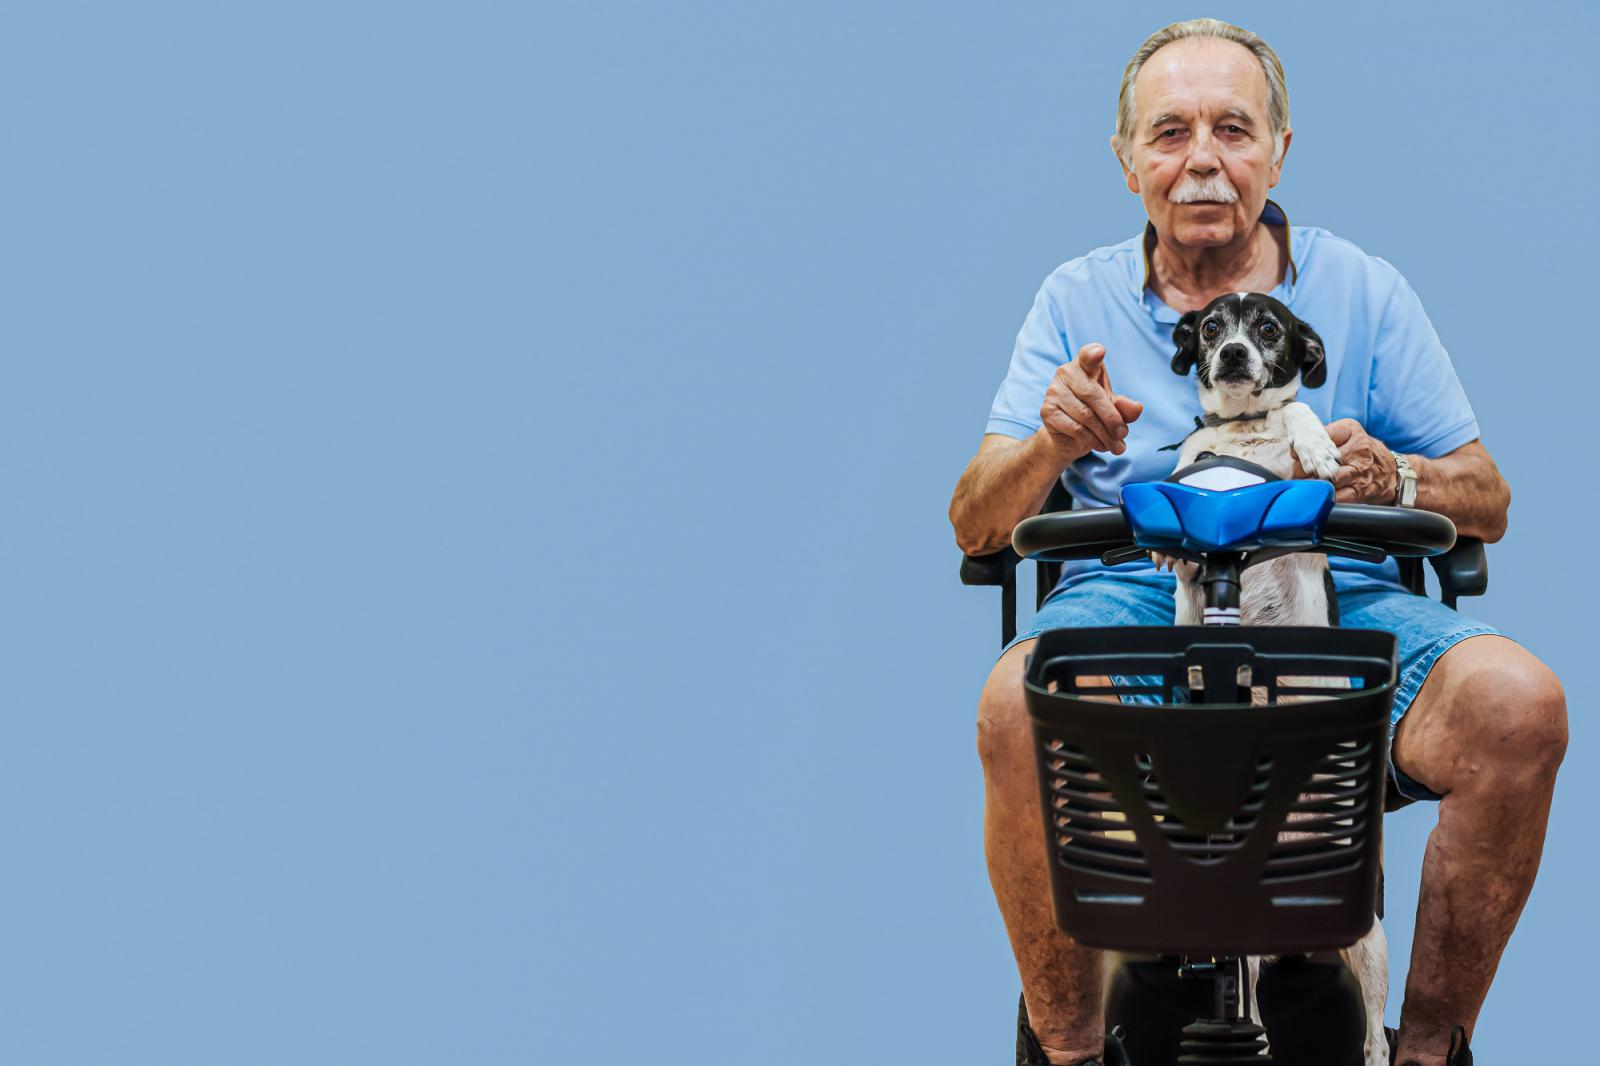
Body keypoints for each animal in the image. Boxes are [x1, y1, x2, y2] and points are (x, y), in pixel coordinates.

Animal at [1164, 291, 1388, 1062]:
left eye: (1268, 329)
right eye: (1210, 328)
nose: (1232, 354)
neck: (1244, 431)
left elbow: (1300, 415)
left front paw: (1317, 443)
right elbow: (1189, 462)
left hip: (1369, 936)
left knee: (1375, 1035)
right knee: (1249, 993)